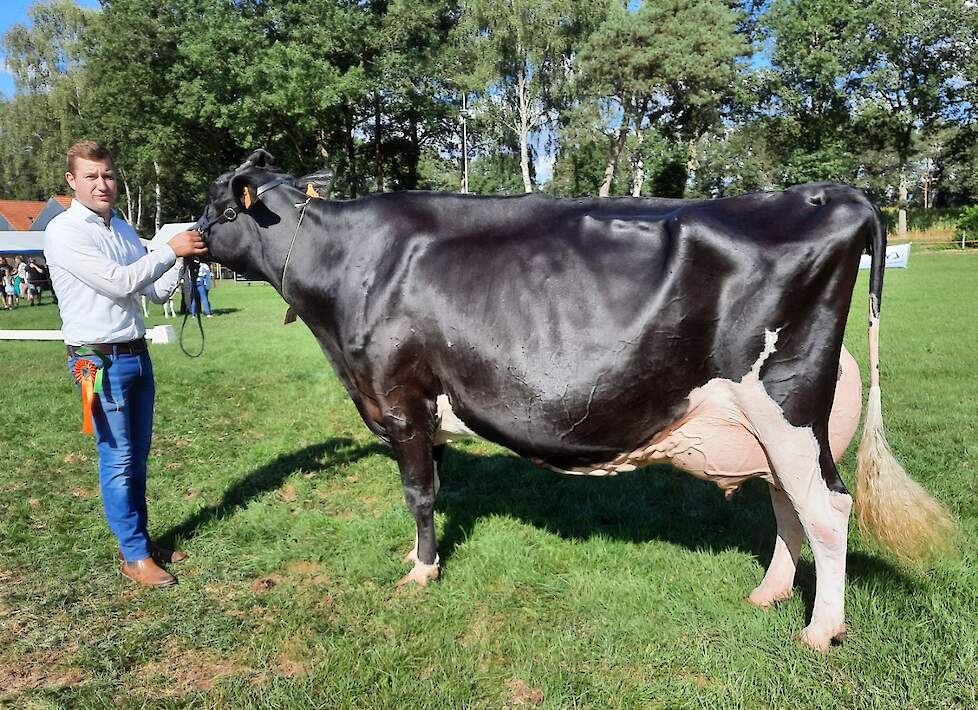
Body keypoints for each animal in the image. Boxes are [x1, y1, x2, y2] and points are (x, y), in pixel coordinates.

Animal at [194, 152, 948, 656]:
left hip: (785, 403)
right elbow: (433, 485)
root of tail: (833, 193)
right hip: (774, 425)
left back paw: (821, 630)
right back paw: (771, 593)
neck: (348, 269)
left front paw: (421, 570)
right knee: (789, 502)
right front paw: (420, 558)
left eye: (223, 209)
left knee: (827, 509)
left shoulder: (399, 398)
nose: (186, 236)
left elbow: (419, 493)